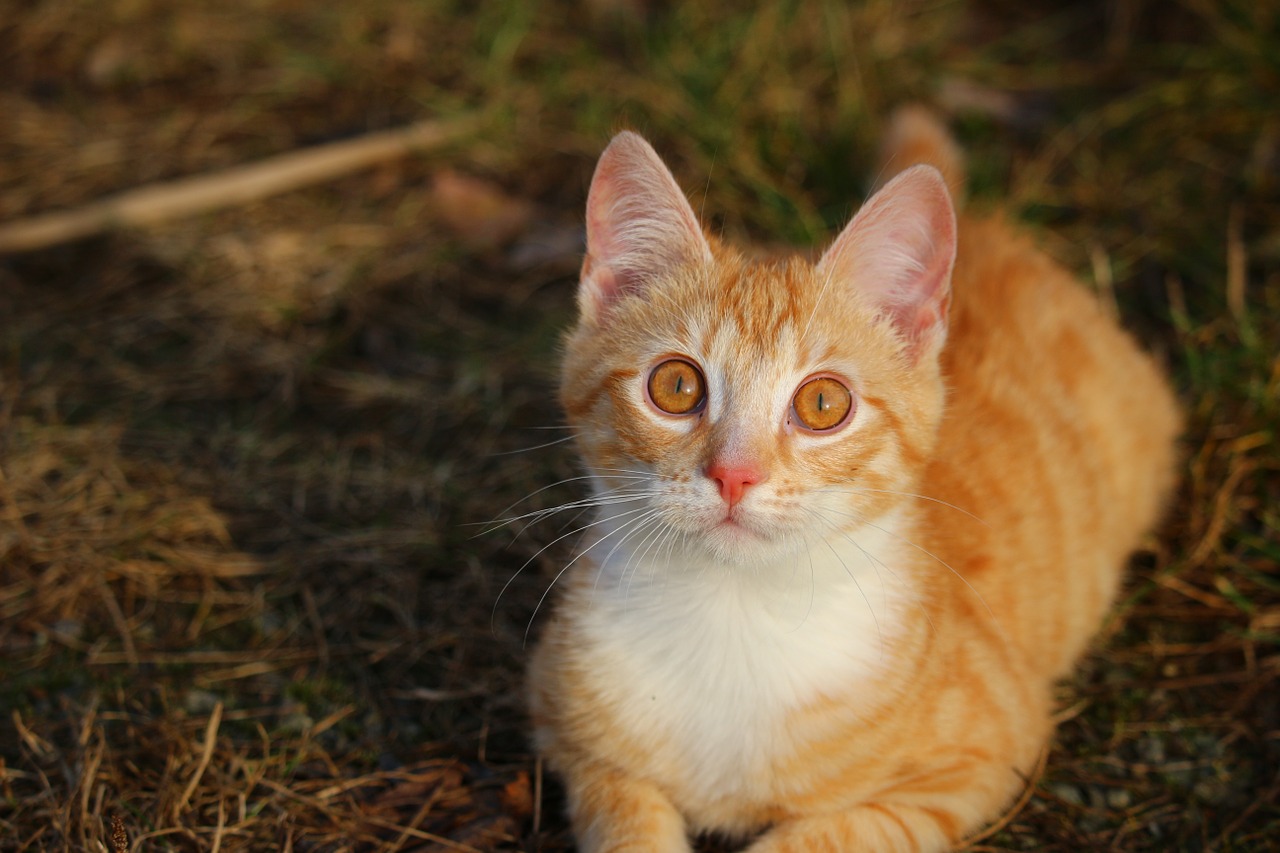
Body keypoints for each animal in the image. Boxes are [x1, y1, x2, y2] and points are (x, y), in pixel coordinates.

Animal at [527, 108, 1177, 850]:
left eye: (822, 403)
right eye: (676, 386)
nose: (733, 474)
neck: (734, 612)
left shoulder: (984, 756)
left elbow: (822, 834)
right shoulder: (561, 718)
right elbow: (625, 816)